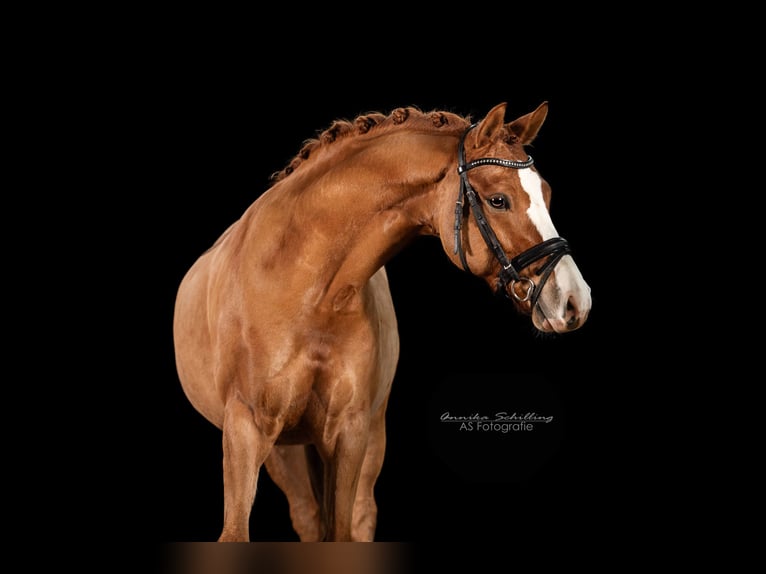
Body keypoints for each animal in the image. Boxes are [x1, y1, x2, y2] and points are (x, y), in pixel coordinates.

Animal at [174, 101, 592, 544]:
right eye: (498, 200)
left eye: (546, 194)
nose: (574, 300)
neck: (307, 289)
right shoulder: (246, 428)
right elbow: (235, 532)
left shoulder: (349, 432)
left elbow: (341, 531)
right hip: (285, 450)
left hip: (364, 439)